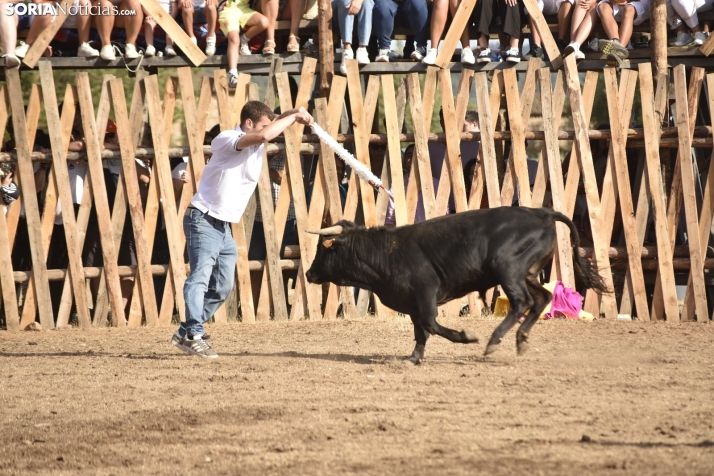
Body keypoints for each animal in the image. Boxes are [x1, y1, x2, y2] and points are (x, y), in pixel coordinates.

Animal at [304, 208, 608, 364]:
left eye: (322, 248)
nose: (308, 273)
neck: (386, 252)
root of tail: (540, 213)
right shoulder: (412, 302)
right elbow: (420, 331)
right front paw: (413, 358)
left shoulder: (425, 292)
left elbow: (430, 325)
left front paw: (466, 337)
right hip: (529, 274)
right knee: (542, 298)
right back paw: (521, 340)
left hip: (508, 269)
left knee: (523, 302)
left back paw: (493, 341)